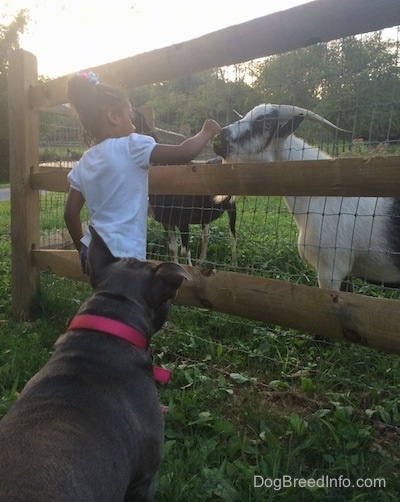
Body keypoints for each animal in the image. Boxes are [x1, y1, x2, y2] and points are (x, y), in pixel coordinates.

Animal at [134, 109, 236, 266]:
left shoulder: (183, 219)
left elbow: (184, 250)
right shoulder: (167, 221)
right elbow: (173, 249)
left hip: (232, 205)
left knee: (232, 234)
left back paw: (234, 264)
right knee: (206, 234)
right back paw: (201, 261)